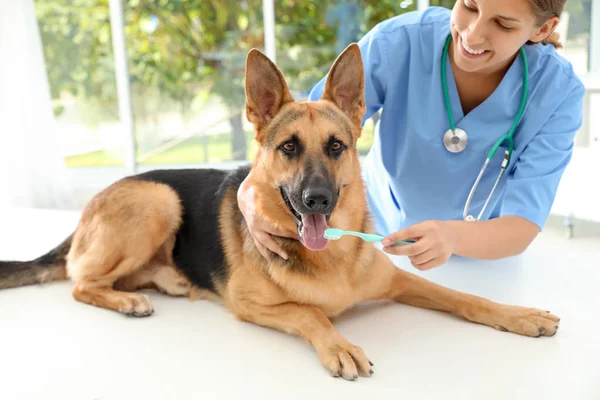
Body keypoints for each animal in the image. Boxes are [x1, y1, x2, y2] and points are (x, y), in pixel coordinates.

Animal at [2, 45, 560, 380]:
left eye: (336, 147)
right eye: (289, 147)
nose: (317, 200)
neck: (329, 258)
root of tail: (90, 207)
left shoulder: (400, 280)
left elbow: (463, 296)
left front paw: (519, 315)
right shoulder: (250, 305)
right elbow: (309, 311)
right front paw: (339, 343)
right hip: (159, 199)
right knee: (80, 280)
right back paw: (126, 300)